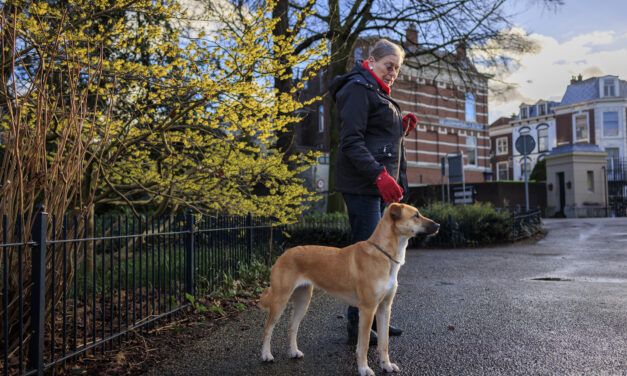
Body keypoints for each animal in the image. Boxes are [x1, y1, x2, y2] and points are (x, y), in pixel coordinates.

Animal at [258, 204, 440, 374]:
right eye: (416, 215)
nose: (438, 225)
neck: (384, 254)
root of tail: (284, 254)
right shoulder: (367, 309)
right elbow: (364, 345)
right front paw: (364, 369)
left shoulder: (384, 308)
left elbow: (384, 343)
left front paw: (386, 365)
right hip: (280, 300)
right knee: (268, 328)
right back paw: (266, 355)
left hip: (304, 300)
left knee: (292, 326)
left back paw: (293, 351)